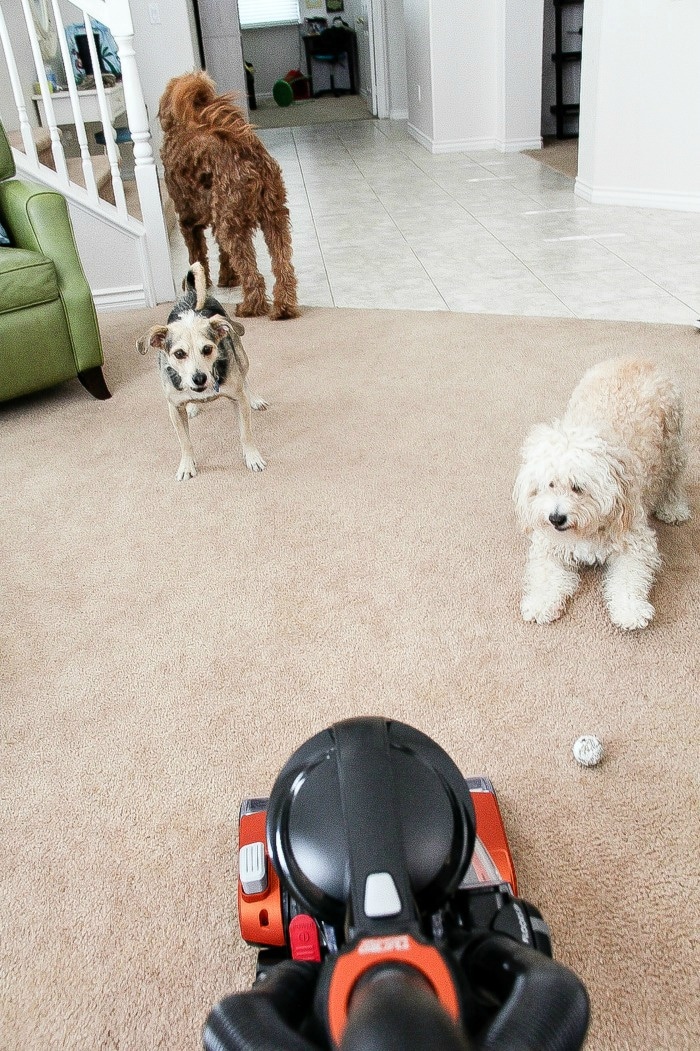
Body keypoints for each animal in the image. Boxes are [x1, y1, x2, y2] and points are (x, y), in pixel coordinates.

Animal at [137, 262, 265, 481]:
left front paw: (252, 457)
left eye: (207, 349)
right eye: (179, 353)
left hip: (242, 358)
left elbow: (245, 433)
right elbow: (185, 442)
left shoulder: (237, 399)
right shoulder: (174, 408)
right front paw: (187, 465)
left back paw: (255, 399)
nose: (199, 378)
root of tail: (191, 292)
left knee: (245, 378)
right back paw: (192, 407)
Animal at [157, 70, 296, 319]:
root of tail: (245, 152)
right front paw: (227, 278)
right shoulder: (216, 219)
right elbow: (222, 254)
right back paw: (284, 307)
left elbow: (197, 255)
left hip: (233, 225)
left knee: (254, 276)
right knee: (284, 268)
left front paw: (197, 284)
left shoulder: (187, 220)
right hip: (274, 217)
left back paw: (250, 307)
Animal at [510, 353, 689, 630]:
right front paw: (541, 603)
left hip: (672, 446)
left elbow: (629, 578)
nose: (556, 518)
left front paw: (629, 609)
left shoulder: (635, 542)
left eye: (578, 488)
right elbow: (546, 576)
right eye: (550, 485)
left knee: (674, 479)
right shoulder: (549, 546)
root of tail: (636, 358)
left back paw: (674, 508)